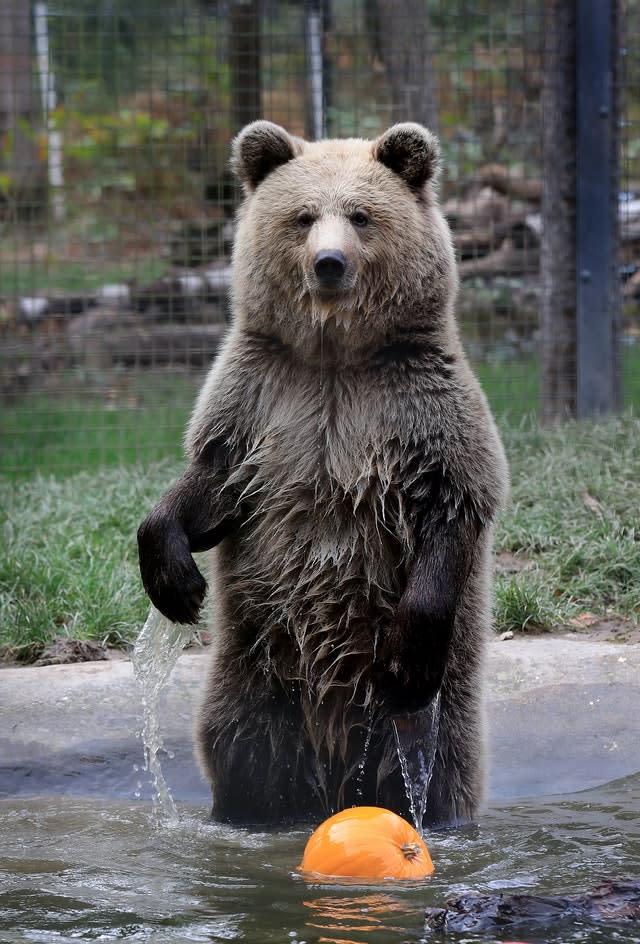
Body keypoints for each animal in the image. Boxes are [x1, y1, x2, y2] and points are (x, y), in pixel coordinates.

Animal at [138, 121, 508, 828]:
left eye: (361, 216)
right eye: (303, 216)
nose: (328, 263)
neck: (334, 359)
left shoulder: (418, 405)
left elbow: (452, 502)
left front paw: (407, 650)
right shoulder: (262, 401)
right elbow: (211, 484)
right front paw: (175, 579)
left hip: (438, 709)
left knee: (438, 766)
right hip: (255, 676)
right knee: (241, 749)